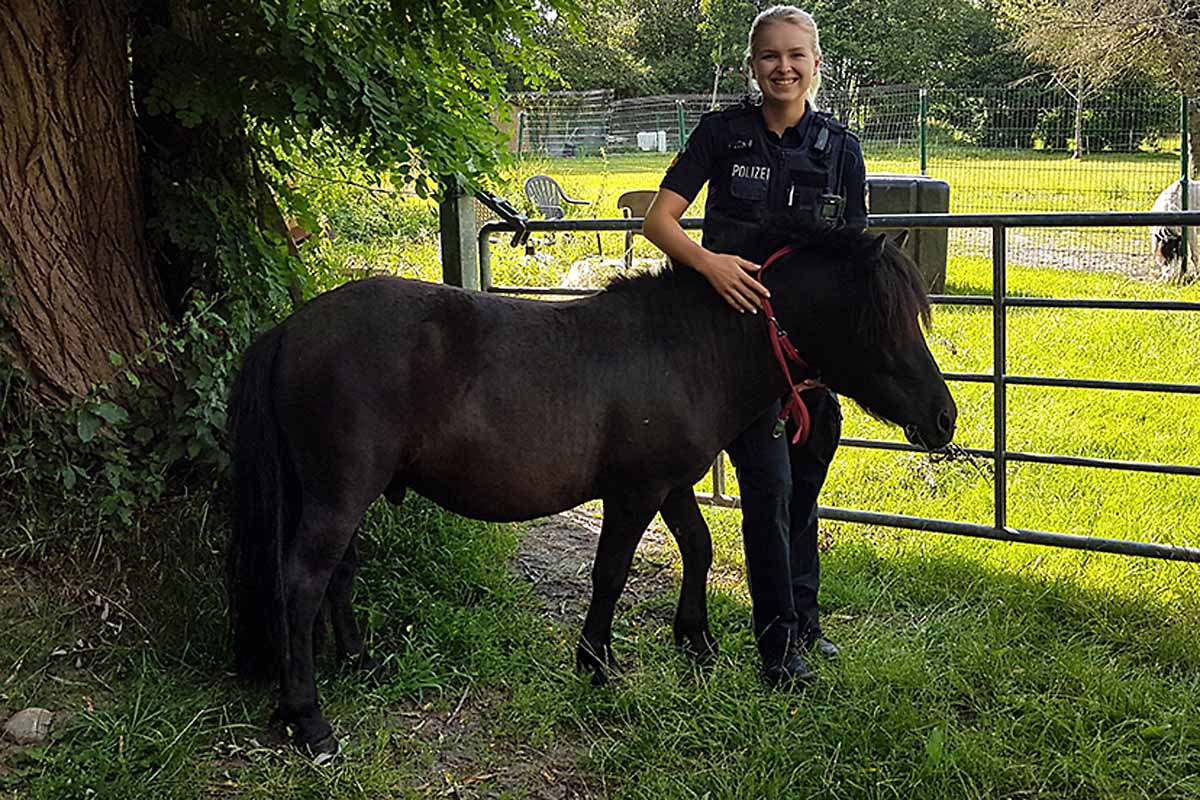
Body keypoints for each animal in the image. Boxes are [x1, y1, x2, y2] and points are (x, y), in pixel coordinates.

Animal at [227, 225, 958, 755]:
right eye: (885, 324)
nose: (944, 418)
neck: (686, 349)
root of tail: (290, 329)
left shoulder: (671, 486)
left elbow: (697, 548)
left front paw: (695, 642)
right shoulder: (634, 493)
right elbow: (610, 572)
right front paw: (596, 663)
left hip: (344, 496)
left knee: (337, 574)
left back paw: (358, 662)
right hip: (338, 495)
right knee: (300, 582)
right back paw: (309, 720)